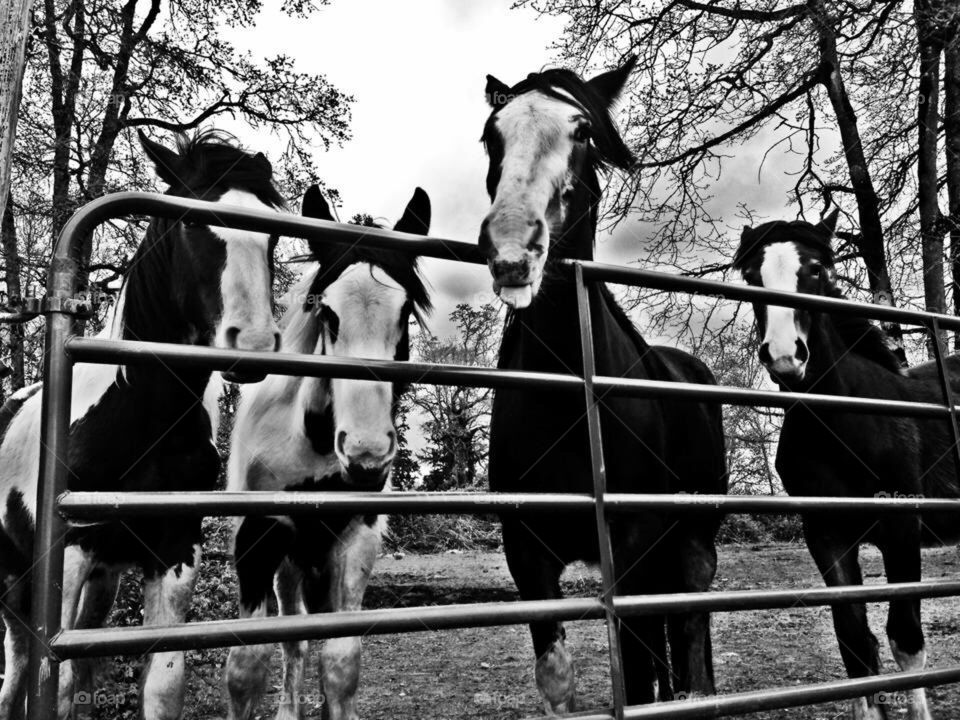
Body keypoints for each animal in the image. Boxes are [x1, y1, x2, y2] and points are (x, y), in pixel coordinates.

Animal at [0, 130, 283, 720]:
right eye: (191, 224)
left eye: (271, 230)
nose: (251, 343)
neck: (142, 416)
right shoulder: (68, 553)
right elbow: (55, 684)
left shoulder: (175, 551)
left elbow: (162, 682)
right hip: (17, 582)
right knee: (14, 678)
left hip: (101, 580)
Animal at [223, 185, 431, 720]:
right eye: (327, 312)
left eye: (405, 313)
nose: (366, 453)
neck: (313, 442)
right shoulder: (258, 536)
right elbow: (247, 666)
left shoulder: (357, 540)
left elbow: (340, 662)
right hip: (287, 567)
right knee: (292, 641)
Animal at [478, 59, 729, 713]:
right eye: (491, 134)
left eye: (584, 131)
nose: (511, 248)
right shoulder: (527, 553)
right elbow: (557, 674)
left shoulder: (634, 545)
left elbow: (637, 675)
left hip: (693, 543)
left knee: (690, 637)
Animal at [734, 212, 958, 720]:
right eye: (752, 277)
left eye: (816, 270)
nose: (785, 355)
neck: (845, 420)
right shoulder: (828, 536)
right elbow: (854, 642)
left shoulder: (901, 529)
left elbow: (906, 640)